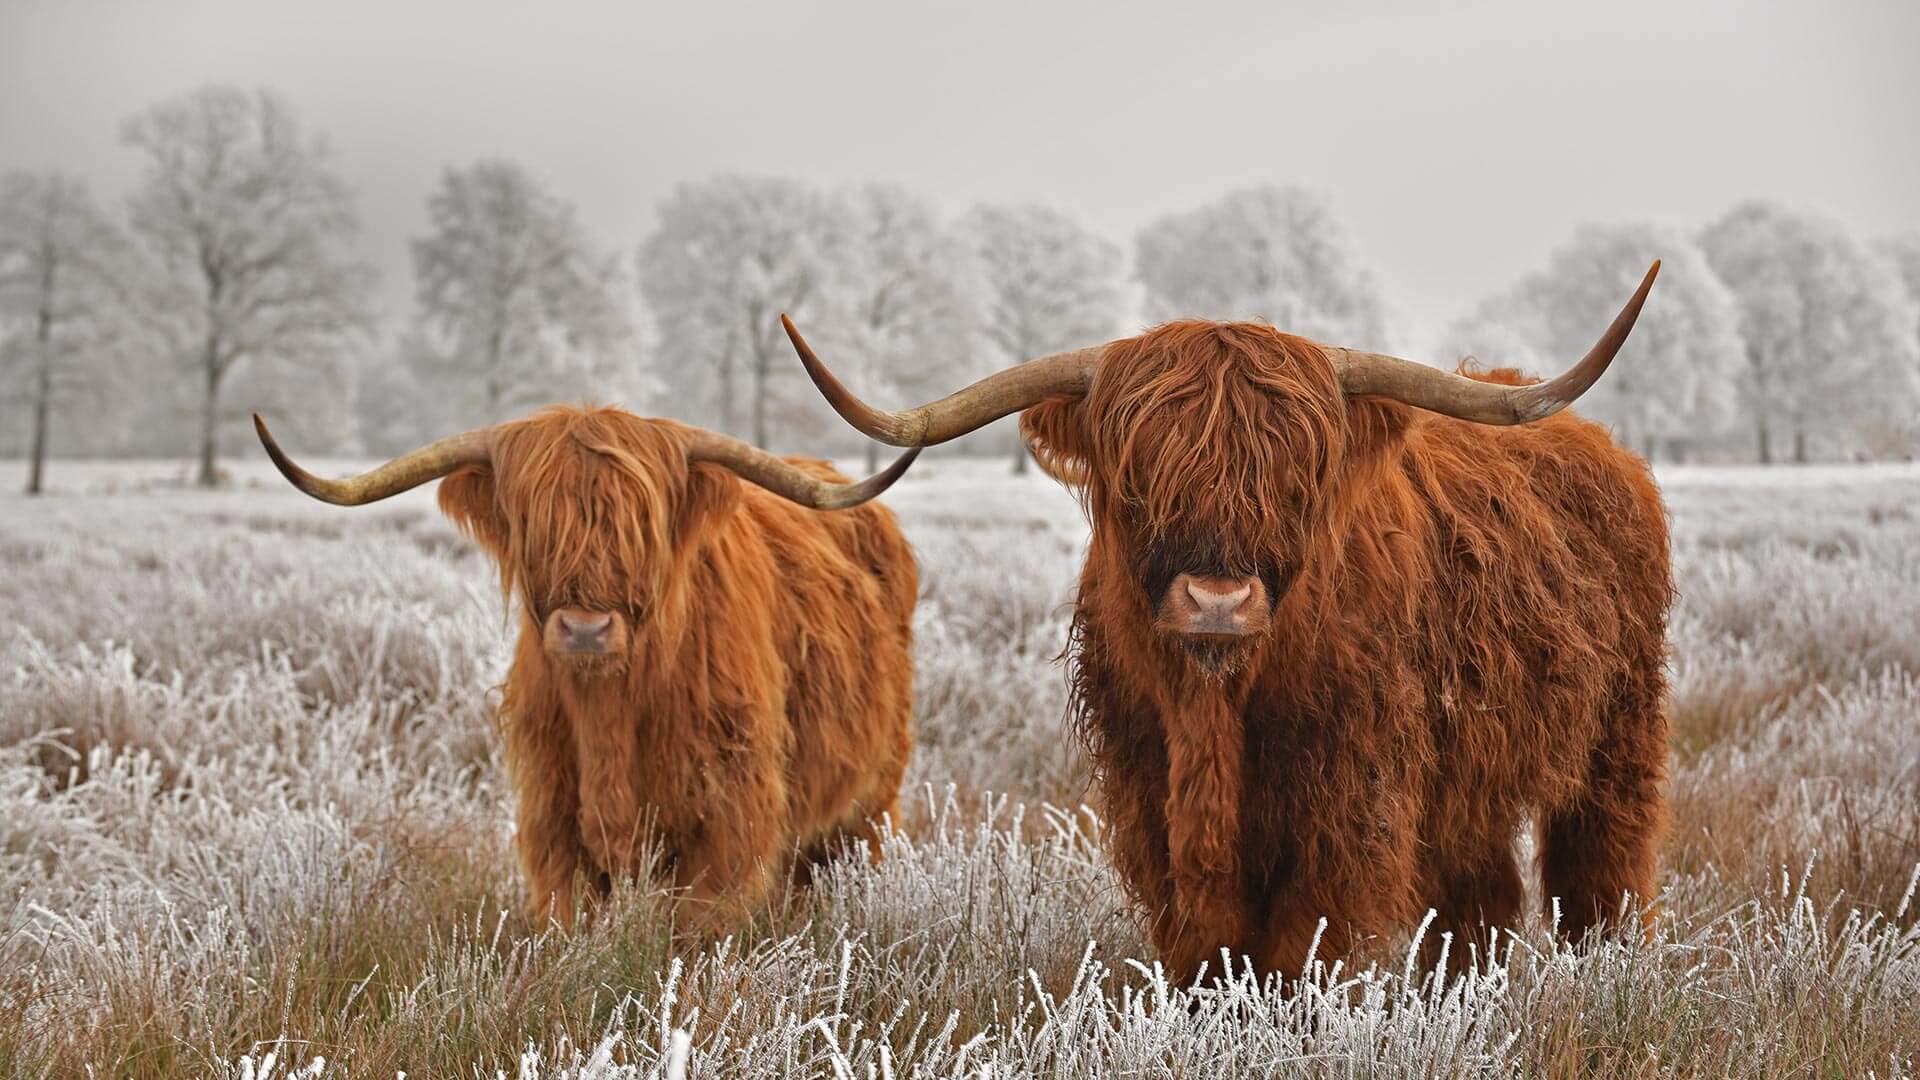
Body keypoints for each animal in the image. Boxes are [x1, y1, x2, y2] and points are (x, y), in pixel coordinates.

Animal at [257, 407, 921, 930]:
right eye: (533, 523)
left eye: (640, 525)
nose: (584, 629)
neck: (611, 712)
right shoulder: (553, 820)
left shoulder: (728, 822)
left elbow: (696, 933)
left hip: (870, 798)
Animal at [787, 265, 1674, 980]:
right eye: (1139, 476)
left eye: (1297, 478)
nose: (1217, 600)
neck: (1215, 709)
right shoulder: (1150, 794)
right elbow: (1206, 949)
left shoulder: (1348, 804)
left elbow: (1300, 950)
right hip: (1476, 779)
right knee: (1480, 897)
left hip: (1619, 733)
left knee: (1602, 868)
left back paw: (1604, 975)